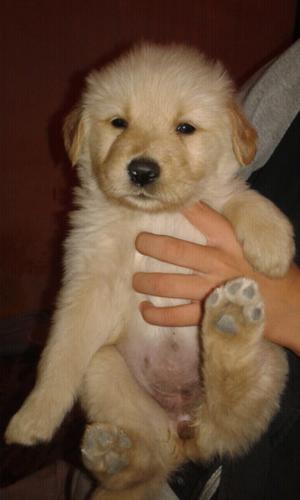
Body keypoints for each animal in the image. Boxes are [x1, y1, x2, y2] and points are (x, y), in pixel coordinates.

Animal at [5, 45, 294, 498]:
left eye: (185, 128)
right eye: (118, 122)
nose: (141, 171)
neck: (154, 217)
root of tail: (186, 431)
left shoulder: (216, 200)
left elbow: (241, 198)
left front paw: (273, 246)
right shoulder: (87, 282)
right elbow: (59, 356)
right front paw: (33, 417)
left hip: (272, 359)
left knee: (226, 413)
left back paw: (229, 323)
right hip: (106, 371)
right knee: (148, 463)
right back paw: (112, 454)